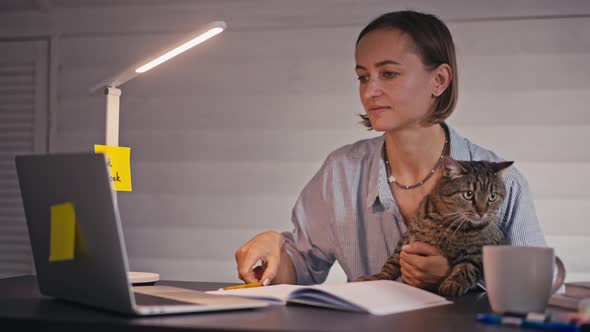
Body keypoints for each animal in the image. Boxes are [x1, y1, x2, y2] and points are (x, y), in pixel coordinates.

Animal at [356, 157, 512, 296]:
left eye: (492, 196)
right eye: (468, 194)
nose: (482, 212)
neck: (450, 225)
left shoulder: (479, 252)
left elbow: (467, 269)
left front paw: (452, 284)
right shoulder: (407, 238)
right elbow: (391, 262)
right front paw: (377, 277)